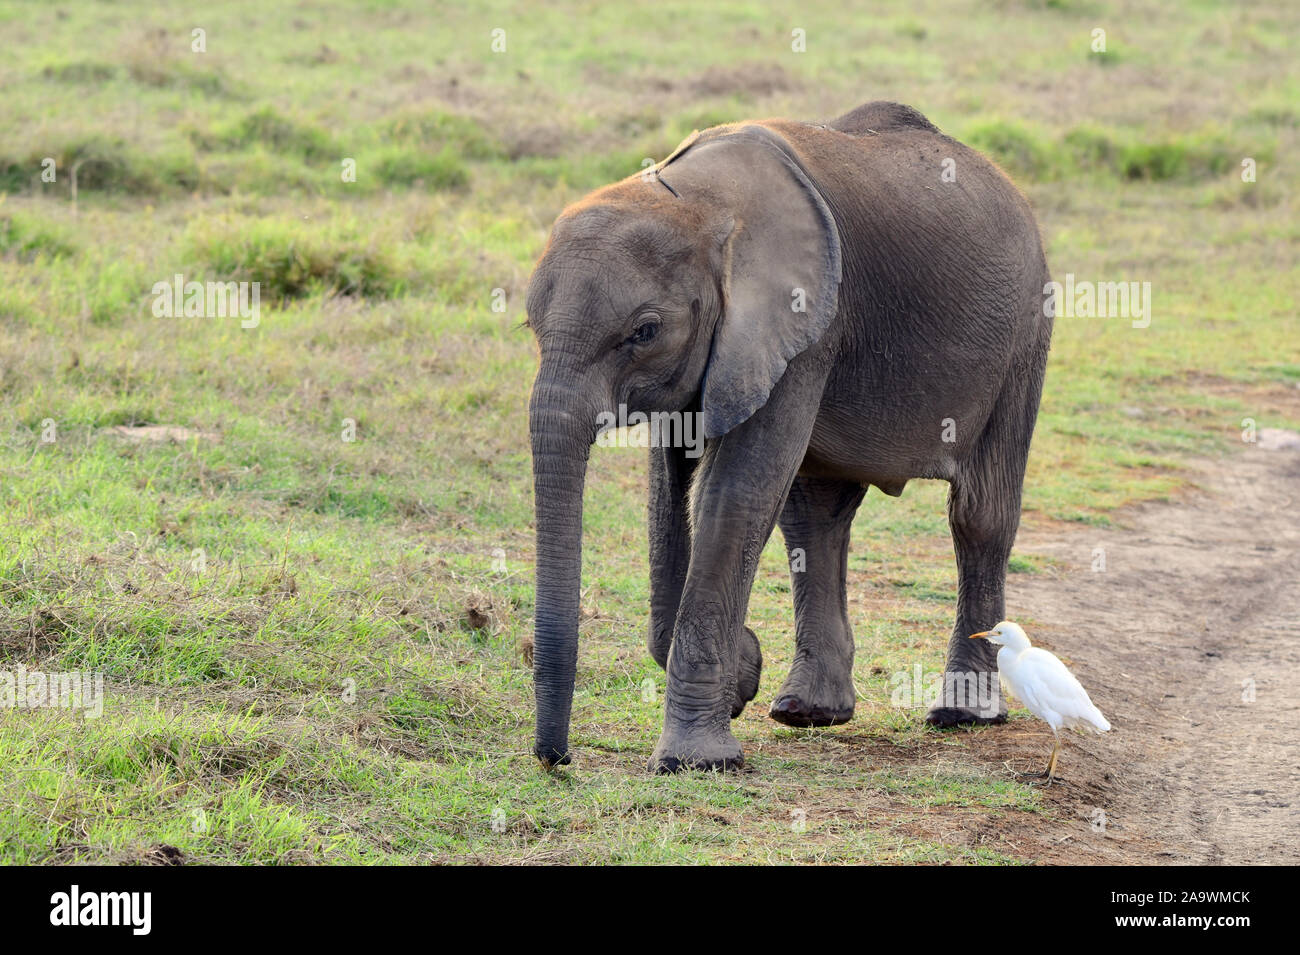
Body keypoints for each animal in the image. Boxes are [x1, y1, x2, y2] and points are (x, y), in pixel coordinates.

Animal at [522, 100, 1050, 774]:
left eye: (644, 331)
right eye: (530, 325)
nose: (556, 759)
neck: (695, 201)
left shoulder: (805, 324)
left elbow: (733, 492)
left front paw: (698, 762)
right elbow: (671, 486)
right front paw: (741, 677)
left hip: (1024, 339)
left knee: (979, 515)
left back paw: (960, 716)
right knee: (814, 514)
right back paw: (806, 712)